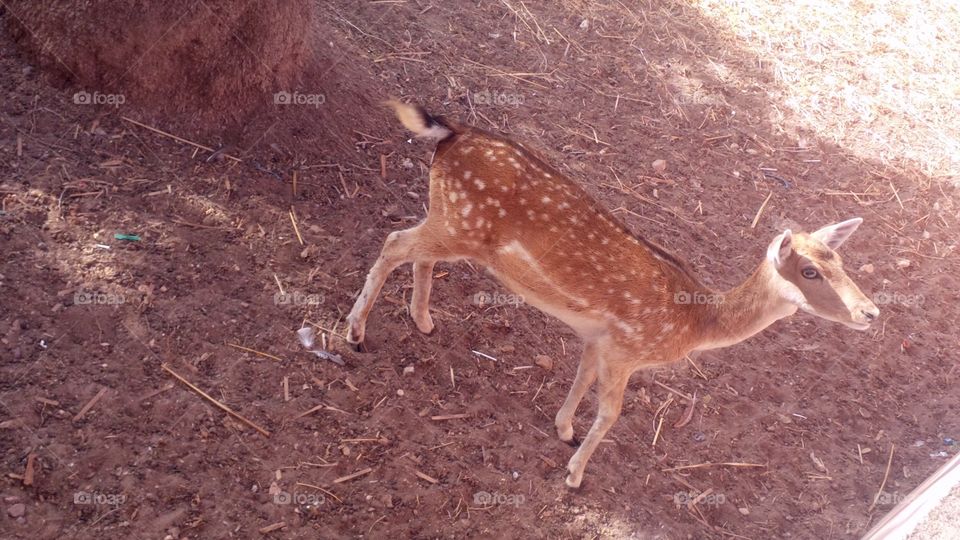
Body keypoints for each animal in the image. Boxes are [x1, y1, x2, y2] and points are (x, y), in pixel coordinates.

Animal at [344, 100, 880, 488]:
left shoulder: (597, 338)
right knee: (395, 243)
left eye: (841, 263)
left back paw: (423, 321)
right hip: (460, 223)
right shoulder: (627, 347)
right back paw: (355, 333)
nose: (871, 312)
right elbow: (610, 414)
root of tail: (451, 132)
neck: (693, 322)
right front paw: (575, 475)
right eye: (810, 271)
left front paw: (563, 430)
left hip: (451, 222)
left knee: (417, 252)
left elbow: (580, 380)